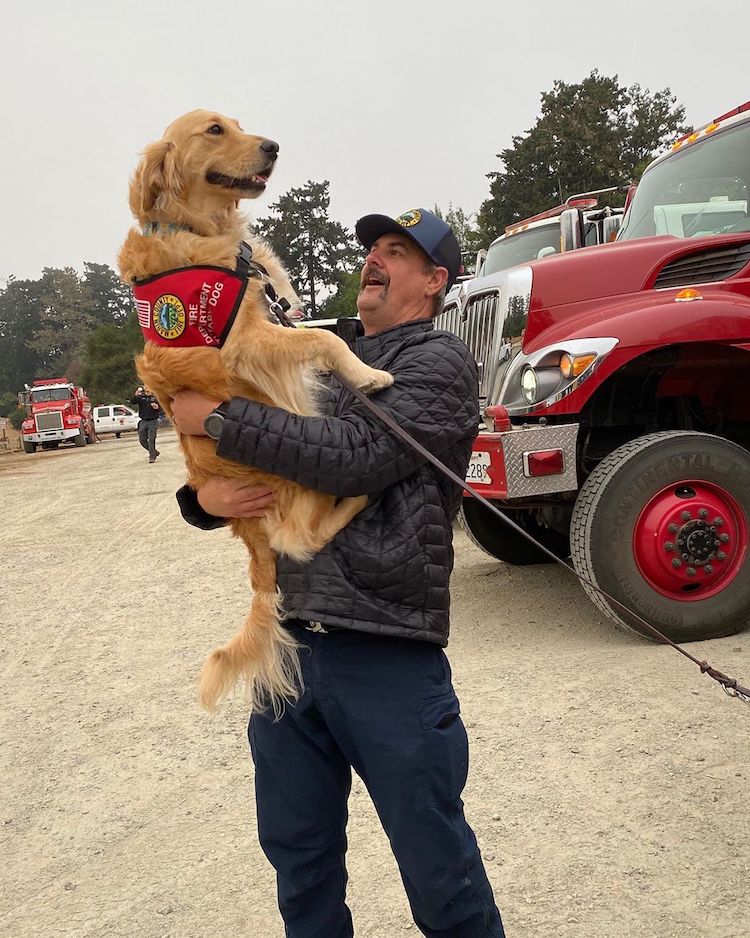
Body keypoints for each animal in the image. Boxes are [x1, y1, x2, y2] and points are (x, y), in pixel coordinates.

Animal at [117, 109, 394, 708]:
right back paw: (358, 497)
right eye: (214, 130)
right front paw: (369, 374)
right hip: (299, 477)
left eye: (238, 123)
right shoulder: (249, 341)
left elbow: (324, 334)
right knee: (301, 539)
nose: (273, 146)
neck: (199, 230)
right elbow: (327, 340)